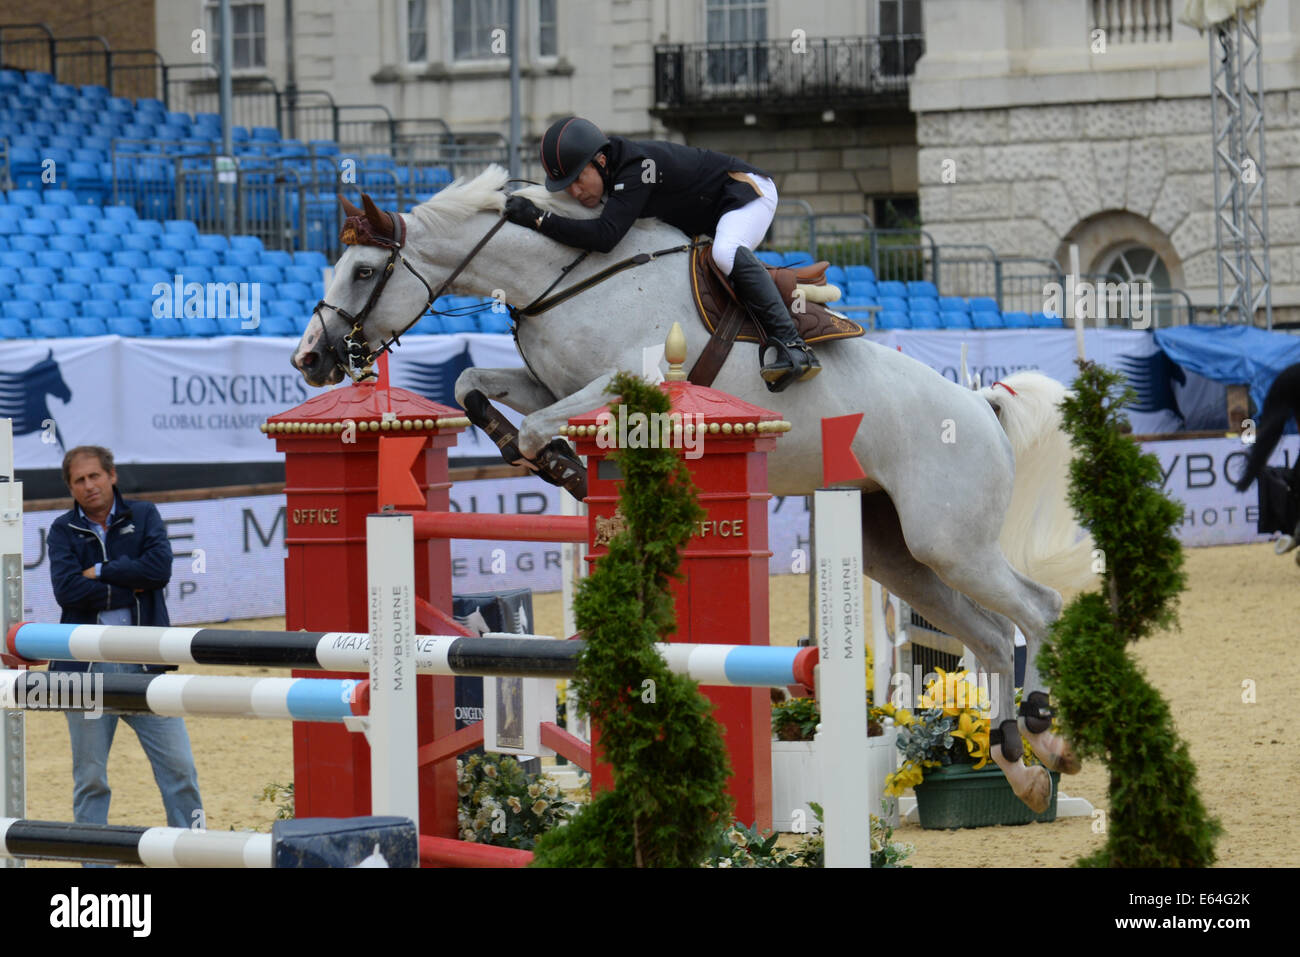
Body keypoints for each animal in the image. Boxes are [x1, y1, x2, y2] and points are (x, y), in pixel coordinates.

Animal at [289, 164, 1092, 806]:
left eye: (365, 271)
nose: (309, 358)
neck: (564, 279)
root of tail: (982, 407)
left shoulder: (620, 384)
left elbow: (538, 423)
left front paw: (563, 466)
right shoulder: (549, 380)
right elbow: (472, 384)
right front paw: (535, 453)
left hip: (947, 541)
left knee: (1037, 609)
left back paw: (1047, 732)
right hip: (896, 551)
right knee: (991, 636)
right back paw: (1022, 764)